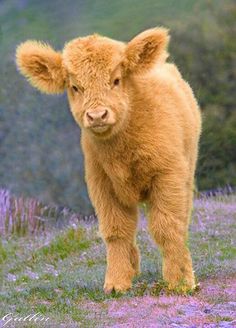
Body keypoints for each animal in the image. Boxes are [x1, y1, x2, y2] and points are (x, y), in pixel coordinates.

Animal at [16, 28, 201, 294]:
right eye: (75, 86)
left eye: (116, 80)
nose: (97, 115)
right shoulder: (102, 184)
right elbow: (116, 231)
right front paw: (117, 282)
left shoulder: (168, 176)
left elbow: (167, 227)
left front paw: (180, 281)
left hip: (187, 171)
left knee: (181, 218)